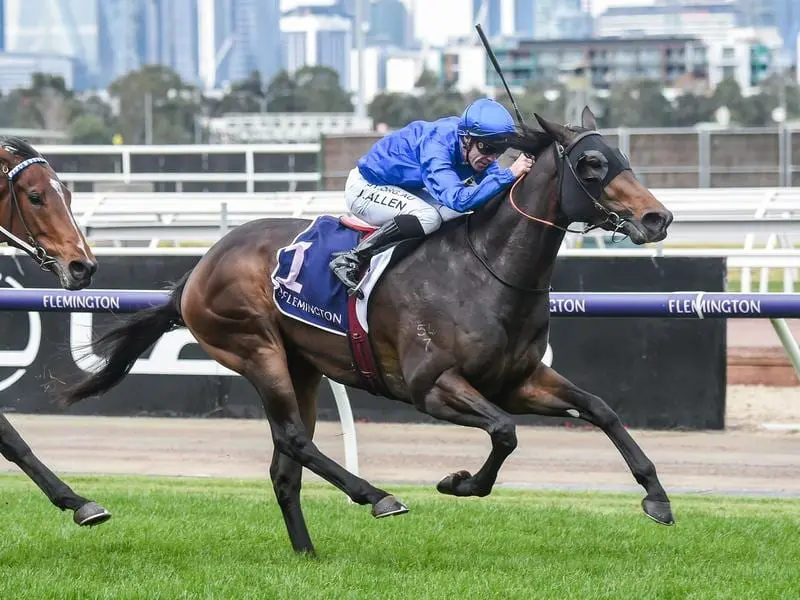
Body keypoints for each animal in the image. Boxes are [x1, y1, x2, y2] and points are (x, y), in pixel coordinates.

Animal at [61, 109, 676, 552]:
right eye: (591, 163)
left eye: (624, 156)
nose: (658, 217)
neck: (487, 269)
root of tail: (200, 266)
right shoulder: (433, 387)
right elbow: (505, 433)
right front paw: (459, 483)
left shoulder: (517, 380)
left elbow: (600, 410)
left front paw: (657, 498)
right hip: (255, 350)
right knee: (295, 440)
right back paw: (377, 496)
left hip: (301, 368)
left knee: (285, 465)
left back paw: (308, 554)